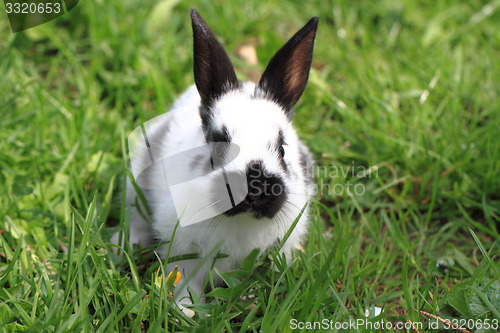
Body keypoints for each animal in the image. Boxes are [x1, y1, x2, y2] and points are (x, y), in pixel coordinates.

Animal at [115, 8, 318, 314]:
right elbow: (185, 282)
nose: (254, 189)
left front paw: (250, 303)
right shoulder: (185, 255)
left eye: (282, 149)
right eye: (218, 143)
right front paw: (187, 310)